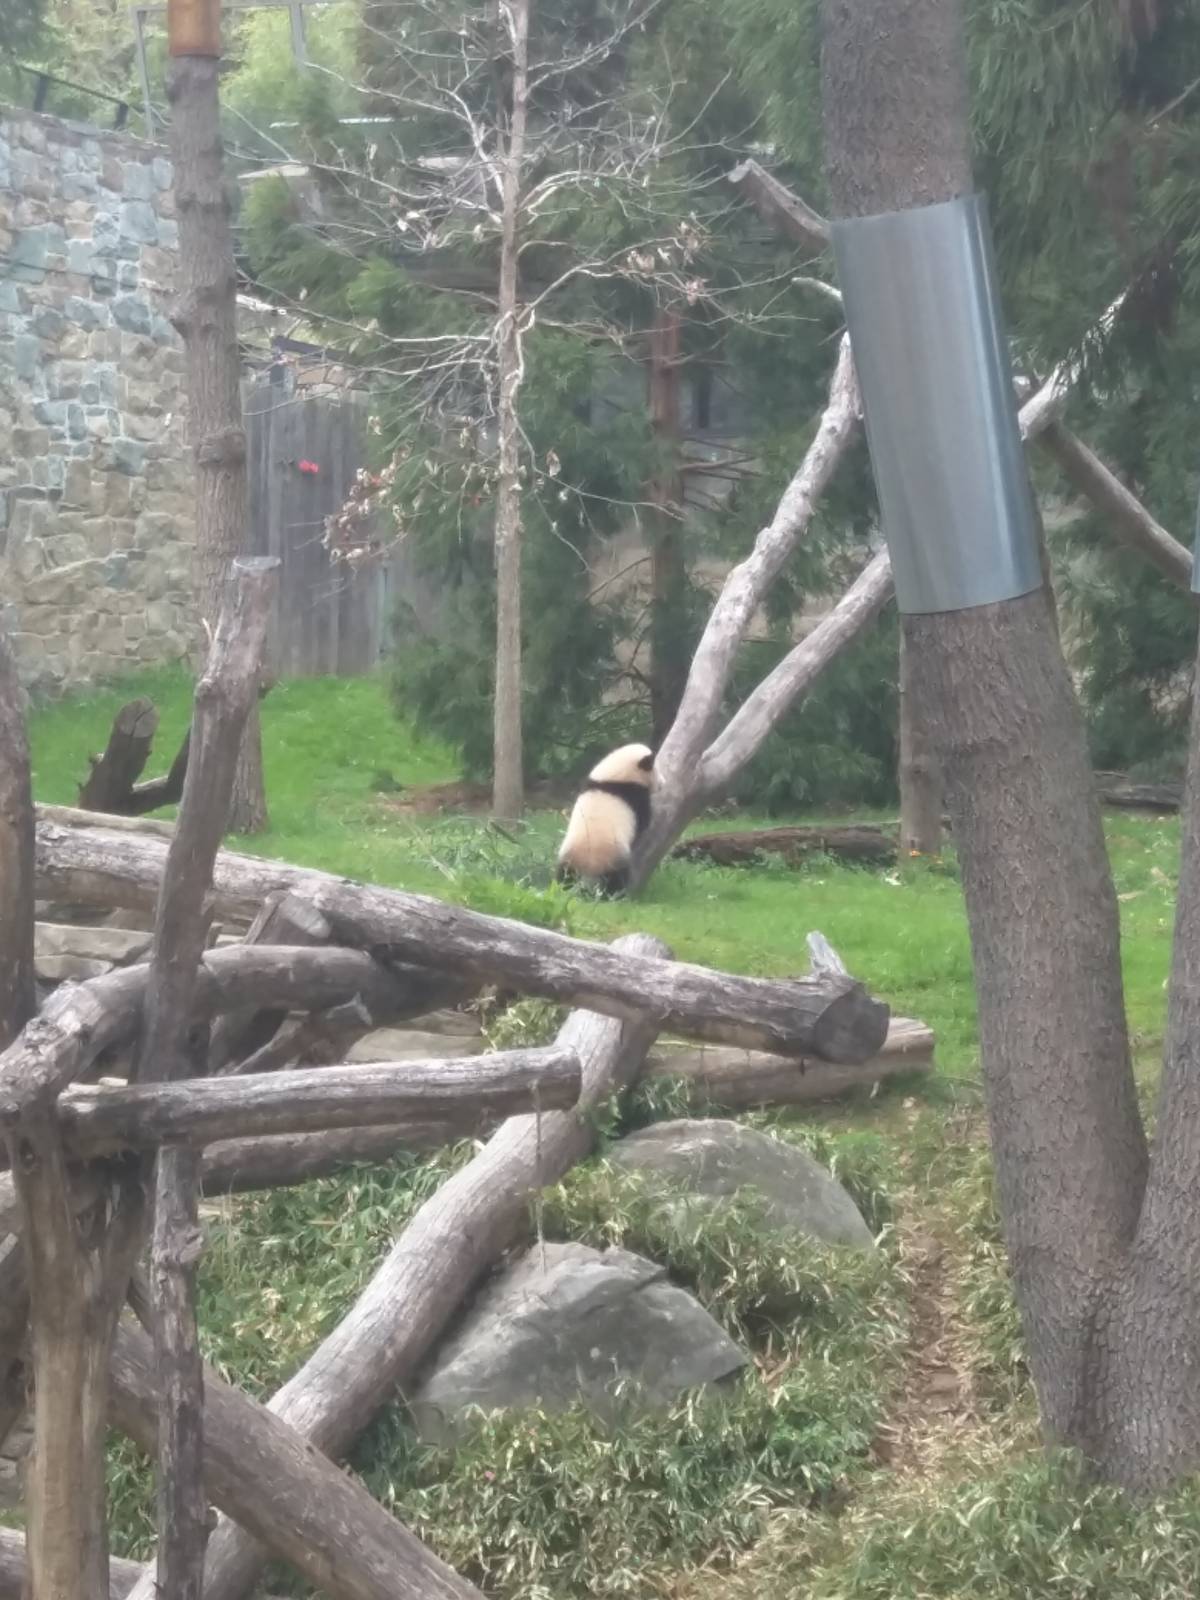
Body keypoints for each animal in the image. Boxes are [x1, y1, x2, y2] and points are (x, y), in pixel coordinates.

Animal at [555, 742, 655, 897]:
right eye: (654, 768)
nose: (663, 782)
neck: (611, 781)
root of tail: (589, 866)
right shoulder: (633, 797)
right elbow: (644, 821)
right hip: (612, 857)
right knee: (617, 879)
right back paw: (616, 895)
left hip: (568, 858)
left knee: (564, 875)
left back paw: (564, 890)